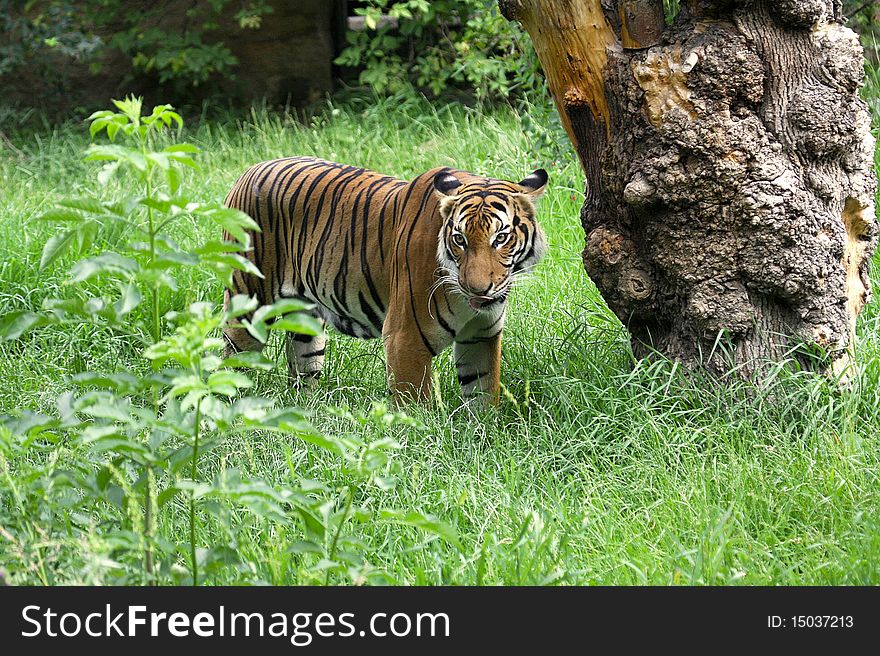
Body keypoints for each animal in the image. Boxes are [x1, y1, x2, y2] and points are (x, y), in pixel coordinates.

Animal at [222, 159, 544, 404]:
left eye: (500, 238)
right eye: (459, 239)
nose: (477, 289)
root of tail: (249, 171)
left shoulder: (481, 336)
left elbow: (483, 395)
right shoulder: (406, 338)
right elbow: (414, 407)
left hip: (305, 323)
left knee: (302, 372)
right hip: (248, 307)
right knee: (231, 362)